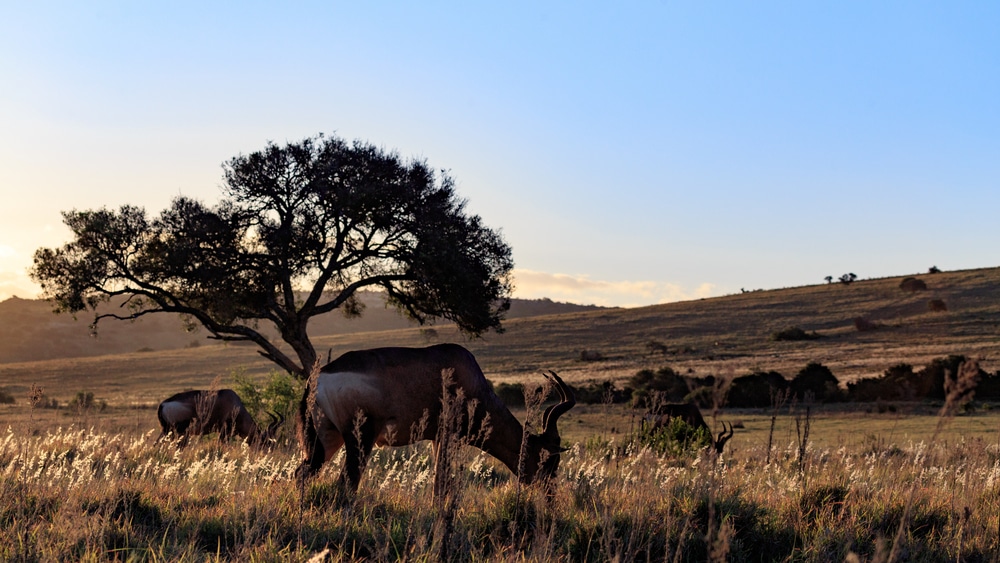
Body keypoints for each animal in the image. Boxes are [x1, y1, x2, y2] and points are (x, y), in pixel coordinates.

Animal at [296, 340, 576, 494]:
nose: (550, 495)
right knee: (346, 482)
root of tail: (319, 377)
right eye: (550, 459)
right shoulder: (450, 437)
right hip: (359, 440)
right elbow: (441, 482)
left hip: (327, 439)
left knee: (304, 472)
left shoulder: (437, 438)